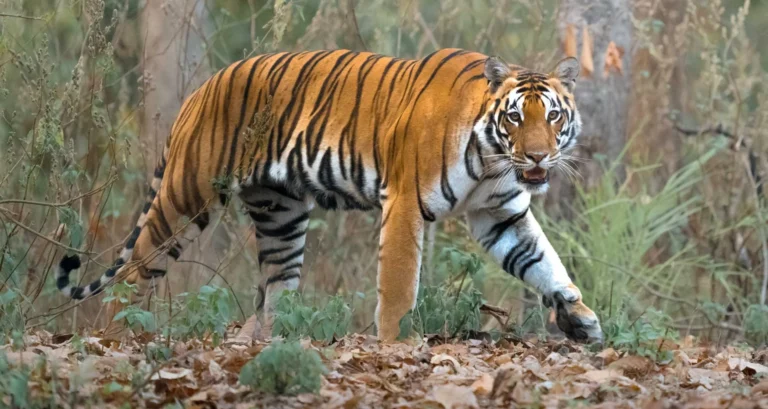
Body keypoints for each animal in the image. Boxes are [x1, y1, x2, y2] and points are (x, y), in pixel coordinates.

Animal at [56, 49, 603, 343]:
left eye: (552, 116)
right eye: (516, 117)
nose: (536, 157)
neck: (492, 158)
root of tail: (201, 89)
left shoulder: (500, 214)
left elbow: (544, 262)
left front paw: (580, 320)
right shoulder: (404, 203)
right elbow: (398, 285)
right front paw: (395, 344)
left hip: (280, 214)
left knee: (275, 287)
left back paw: (270, 340)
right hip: (187, 198)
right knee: (134, 271)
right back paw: (120, 335)